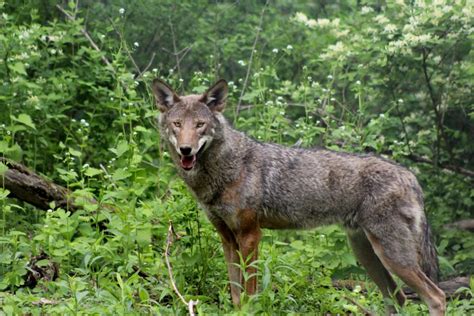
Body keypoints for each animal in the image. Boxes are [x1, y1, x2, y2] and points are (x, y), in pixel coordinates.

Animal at [153, 78, 448, 314]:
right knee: (398, 298)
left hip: (393, 256)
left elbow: (249, 293)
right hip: (368, 253)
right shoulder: (227, 238)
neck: (223, 169)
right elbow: (236, 292)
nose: (186, 150)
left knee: (437, 296)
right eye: (177, 124)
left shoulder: (250, 235)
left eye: (200, 125)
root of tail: (410, 175)